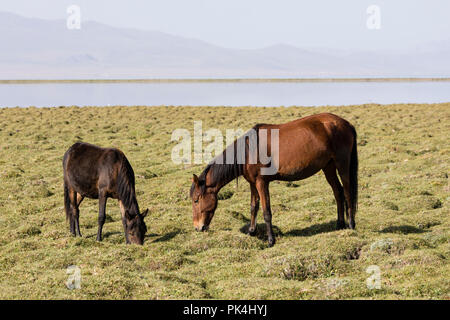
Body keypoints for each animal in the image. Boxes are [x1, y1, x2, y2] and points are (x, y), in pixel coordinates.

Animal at [190, 113, 358, 248]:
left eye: (196, 200)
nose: (198, 227)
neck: (248, 151)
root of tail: (346, 124)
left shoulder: (261, 183)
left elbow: (266, 212)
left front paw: (271, 240)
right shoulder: (253, 183)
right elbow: (253, 207)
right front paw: (251, 232)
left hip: (342, 164)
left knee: (347, 191)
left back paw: (351, 224)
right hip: (328, 167)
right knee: (338, 192)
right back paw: (339, 225)